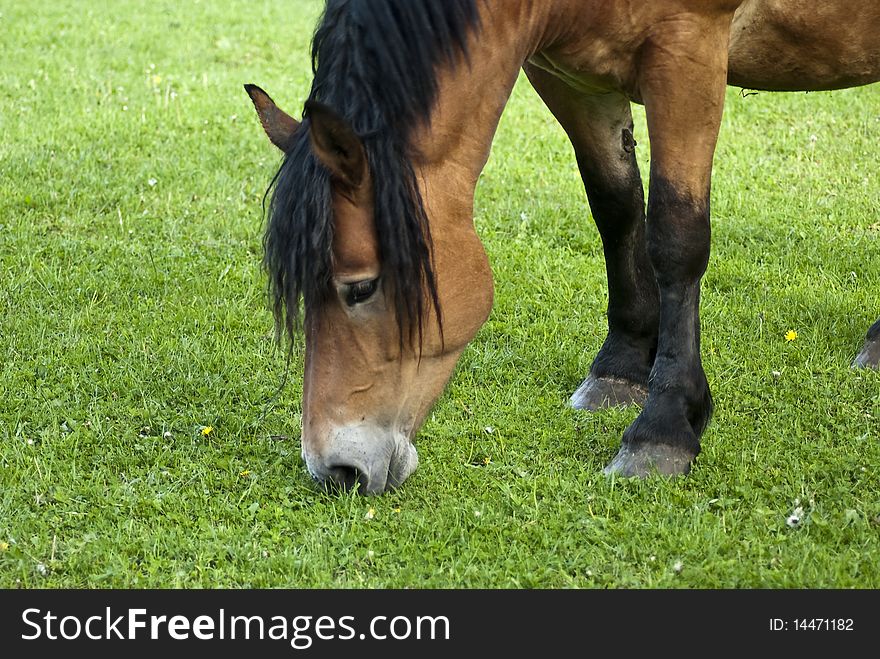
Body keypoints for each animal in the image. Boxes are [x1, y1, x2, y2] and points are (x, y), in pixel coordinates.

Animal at [246, 1, 880, 496]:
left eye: (361, 288)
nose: (335, 470)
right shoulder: (569, 77)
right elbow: (616, 208)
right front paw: (619, 368)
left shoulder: (688, 52)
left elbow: (676, 236)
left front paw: (663, 429)